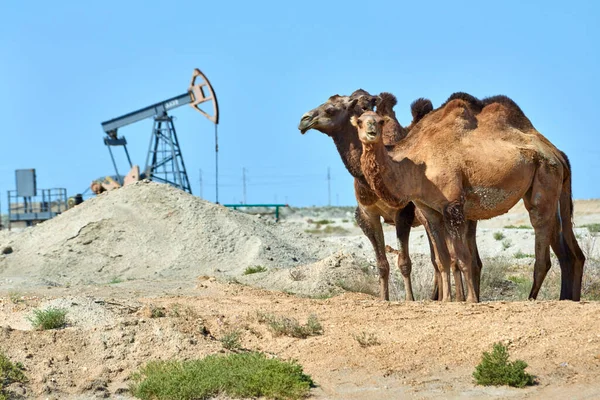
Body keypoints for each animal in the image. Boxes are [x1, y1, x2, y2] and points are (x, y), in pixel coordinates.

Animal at [296, 90, 478, 300]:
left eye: (330, 109)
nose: (304, 120)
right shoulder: (367, 215)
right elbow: (382, 264)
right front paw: (384, 298)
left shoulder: (403, 213)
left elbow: (404, 262)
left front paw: (410, 299)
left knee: (463, 257)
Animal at [354, 95, 584, 304]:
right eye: (359, 121)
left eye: (380, 121)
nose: (371, 132)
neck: (417, 164)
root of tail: (556, 153)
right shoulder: (429, 210)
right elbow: (443, 259)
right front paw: (447, 300)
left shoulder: (452, 205)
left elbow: (462, 258)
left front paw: (470, 299)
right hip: (556, 186)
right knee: (570, 248)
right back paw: (568, 297)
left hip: (545, 174)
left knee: (541, 236)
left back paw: (531, 299)